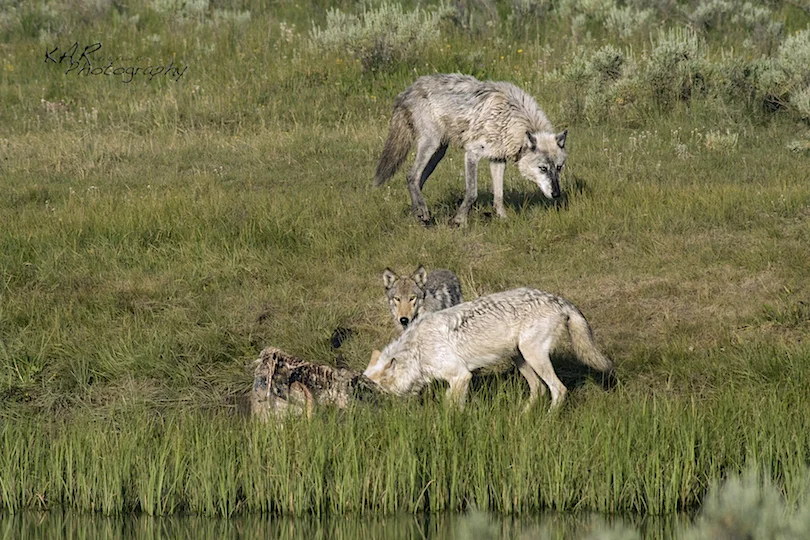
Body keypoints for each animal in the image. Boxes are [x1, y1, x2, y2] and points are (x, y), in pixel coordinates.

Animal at [364, 288, 613, 411]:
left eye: (376, 391)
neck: (417, 351)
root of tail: (558, 299)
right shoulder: (457, 380)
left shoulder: (461, 376)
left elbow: (450, 406)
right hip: (519, 358)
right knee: (539, 390)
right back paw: (523, 418)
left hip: (532, 356)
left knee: (558, 390)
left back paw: (547, 420)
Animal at [373, 73, 568, 226]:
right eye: (543, 168)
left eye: (559, 168)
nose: (557, 193)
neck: (509, 118)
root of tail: (409, 89)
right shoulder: (472, 154)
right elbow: (472, 193)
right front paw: (459, 221)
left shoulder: (497, 159)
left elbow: (498, 195)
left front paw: (503, 219)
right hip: (431, 145)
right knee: (411, 176)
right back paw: (423, 212)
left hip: (438, 152)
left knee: (417, 180)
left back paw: (418, 214)